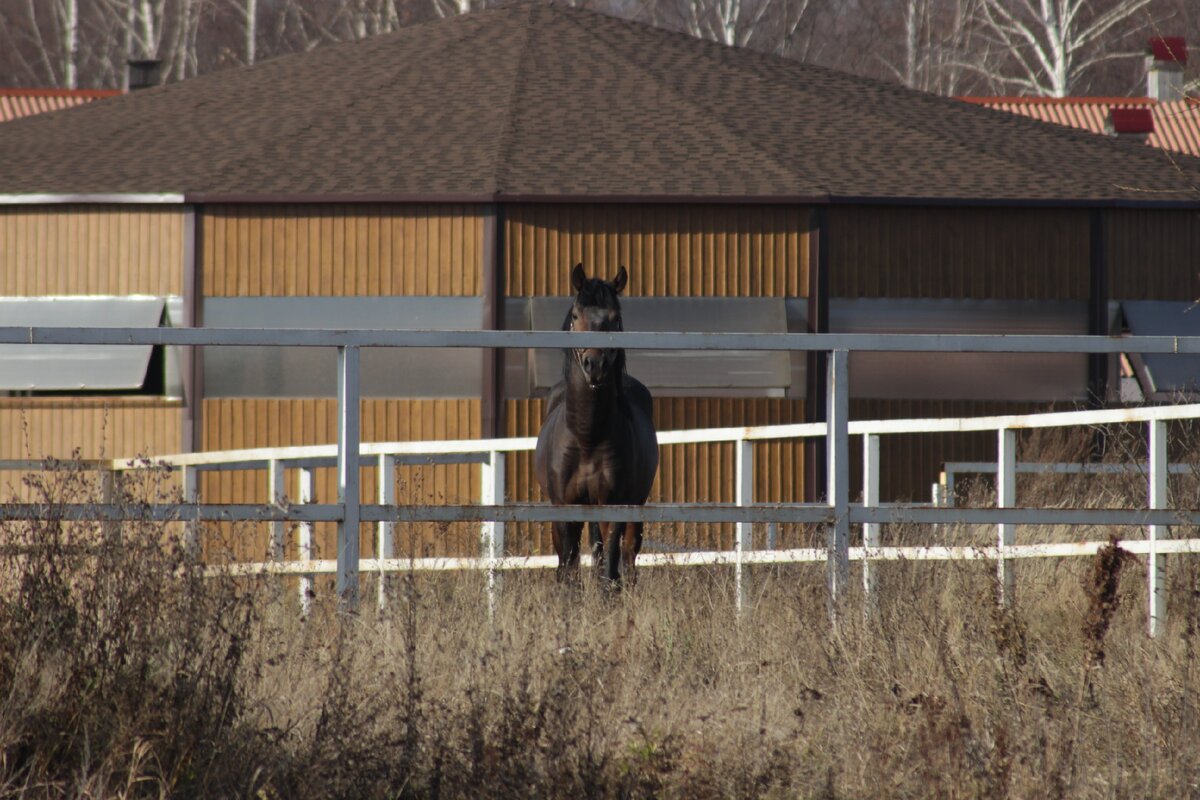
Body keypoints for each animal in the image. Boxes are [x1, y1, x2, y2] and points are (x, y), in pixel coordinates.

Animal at [537, 266, 662, 585]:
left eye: (615, 318)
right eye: (575, 315)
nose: (595, 365)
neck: (587, 436)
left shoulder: (613, 506)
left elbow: (610, 572)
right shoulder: (565, 509)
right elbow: (570, 571)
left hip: (633, 507)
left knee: (626, 558)